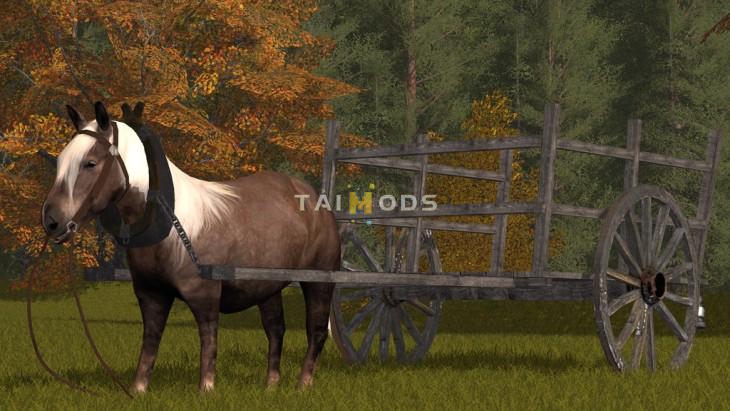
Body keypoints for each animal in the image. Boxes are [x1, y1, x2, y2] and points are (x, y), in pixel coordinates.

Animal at [41, 101, 340, 392]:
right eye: (60, 160)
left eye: (90, 163)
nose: (52, 221)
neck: (172, 228)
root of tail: (313, 197)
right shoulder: (151, 295)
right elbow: (150, 343)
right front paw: (138, 390)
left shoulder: (205, 295)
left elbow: (209, 341)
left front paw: (206, 390)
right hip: (267, 286)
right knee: (276, 329)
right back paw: (271, 387)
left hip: (319, 282)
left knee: (316, 332)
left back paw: (303, 385)